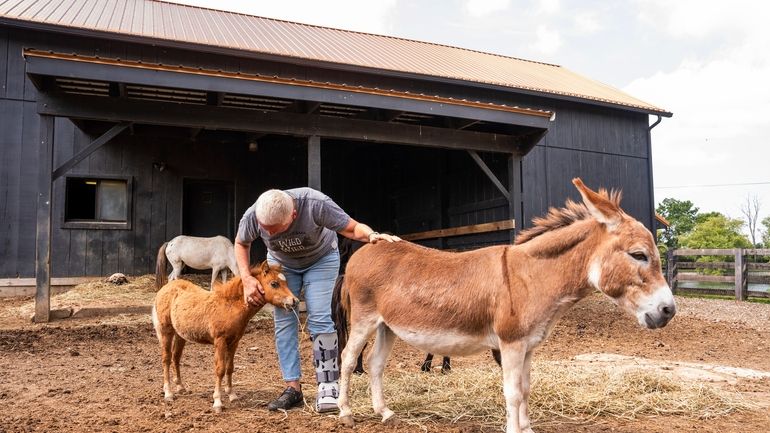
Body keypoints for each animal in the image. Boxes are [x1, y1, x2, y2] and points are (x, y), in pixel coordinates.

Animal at [151, 260, 296, 412]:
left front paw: (232, 395)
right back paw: (168, 393)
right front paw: (217, 402)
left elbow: (230, 367)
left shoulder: (234, 341)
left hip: (181, 334)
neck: (229, 306)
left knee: (176, 357)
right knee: (166, 359)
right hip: (166, 330)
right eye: (274, 283)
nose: (294, 301)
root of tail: (164, 288)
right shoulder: (219, 341)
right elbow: (220, 369)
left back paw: (180, 387)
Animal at [332, 178, 676, 432]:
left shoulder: (528, 345)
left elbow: (525, 389)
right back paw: (346, 413)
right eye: (639, 255)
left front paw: (527, 429)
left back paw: (385, 413)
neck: (530, 277)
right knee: (348, 358)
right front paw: (515, 429)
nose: (668, 311)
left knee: (375, 363)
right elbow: (512, 393)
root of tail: (367, 248)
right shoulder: (510, 343)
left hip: (387, 326)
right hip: (364, 319)